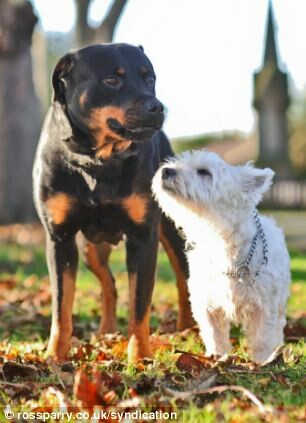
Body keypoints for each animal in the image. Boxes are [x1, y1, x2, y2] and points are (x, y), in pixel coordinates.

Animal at [32, 43, 192, 362]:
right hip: (89, 247)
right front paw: (55, 355)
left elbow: (140, 305)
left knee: (183, 278)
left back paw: (188, 329)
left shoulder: (143, 236)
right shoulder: (60, 238)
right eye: (111, 80)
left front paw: (140, 356)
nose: (157, 106)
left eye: (150, 79)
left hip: (170, 231)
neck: (97, 161)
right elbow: (61, 307)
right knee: (109, 284)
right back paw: (106, 330)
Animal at [152, 152, 290, 364]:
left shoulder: (264, 307)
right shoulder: (208, 305)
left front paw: (261, 362)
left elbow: (262, 339)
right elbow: (214, 335)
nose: (166, 171)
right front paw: (217, 358)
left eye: (204, 172)